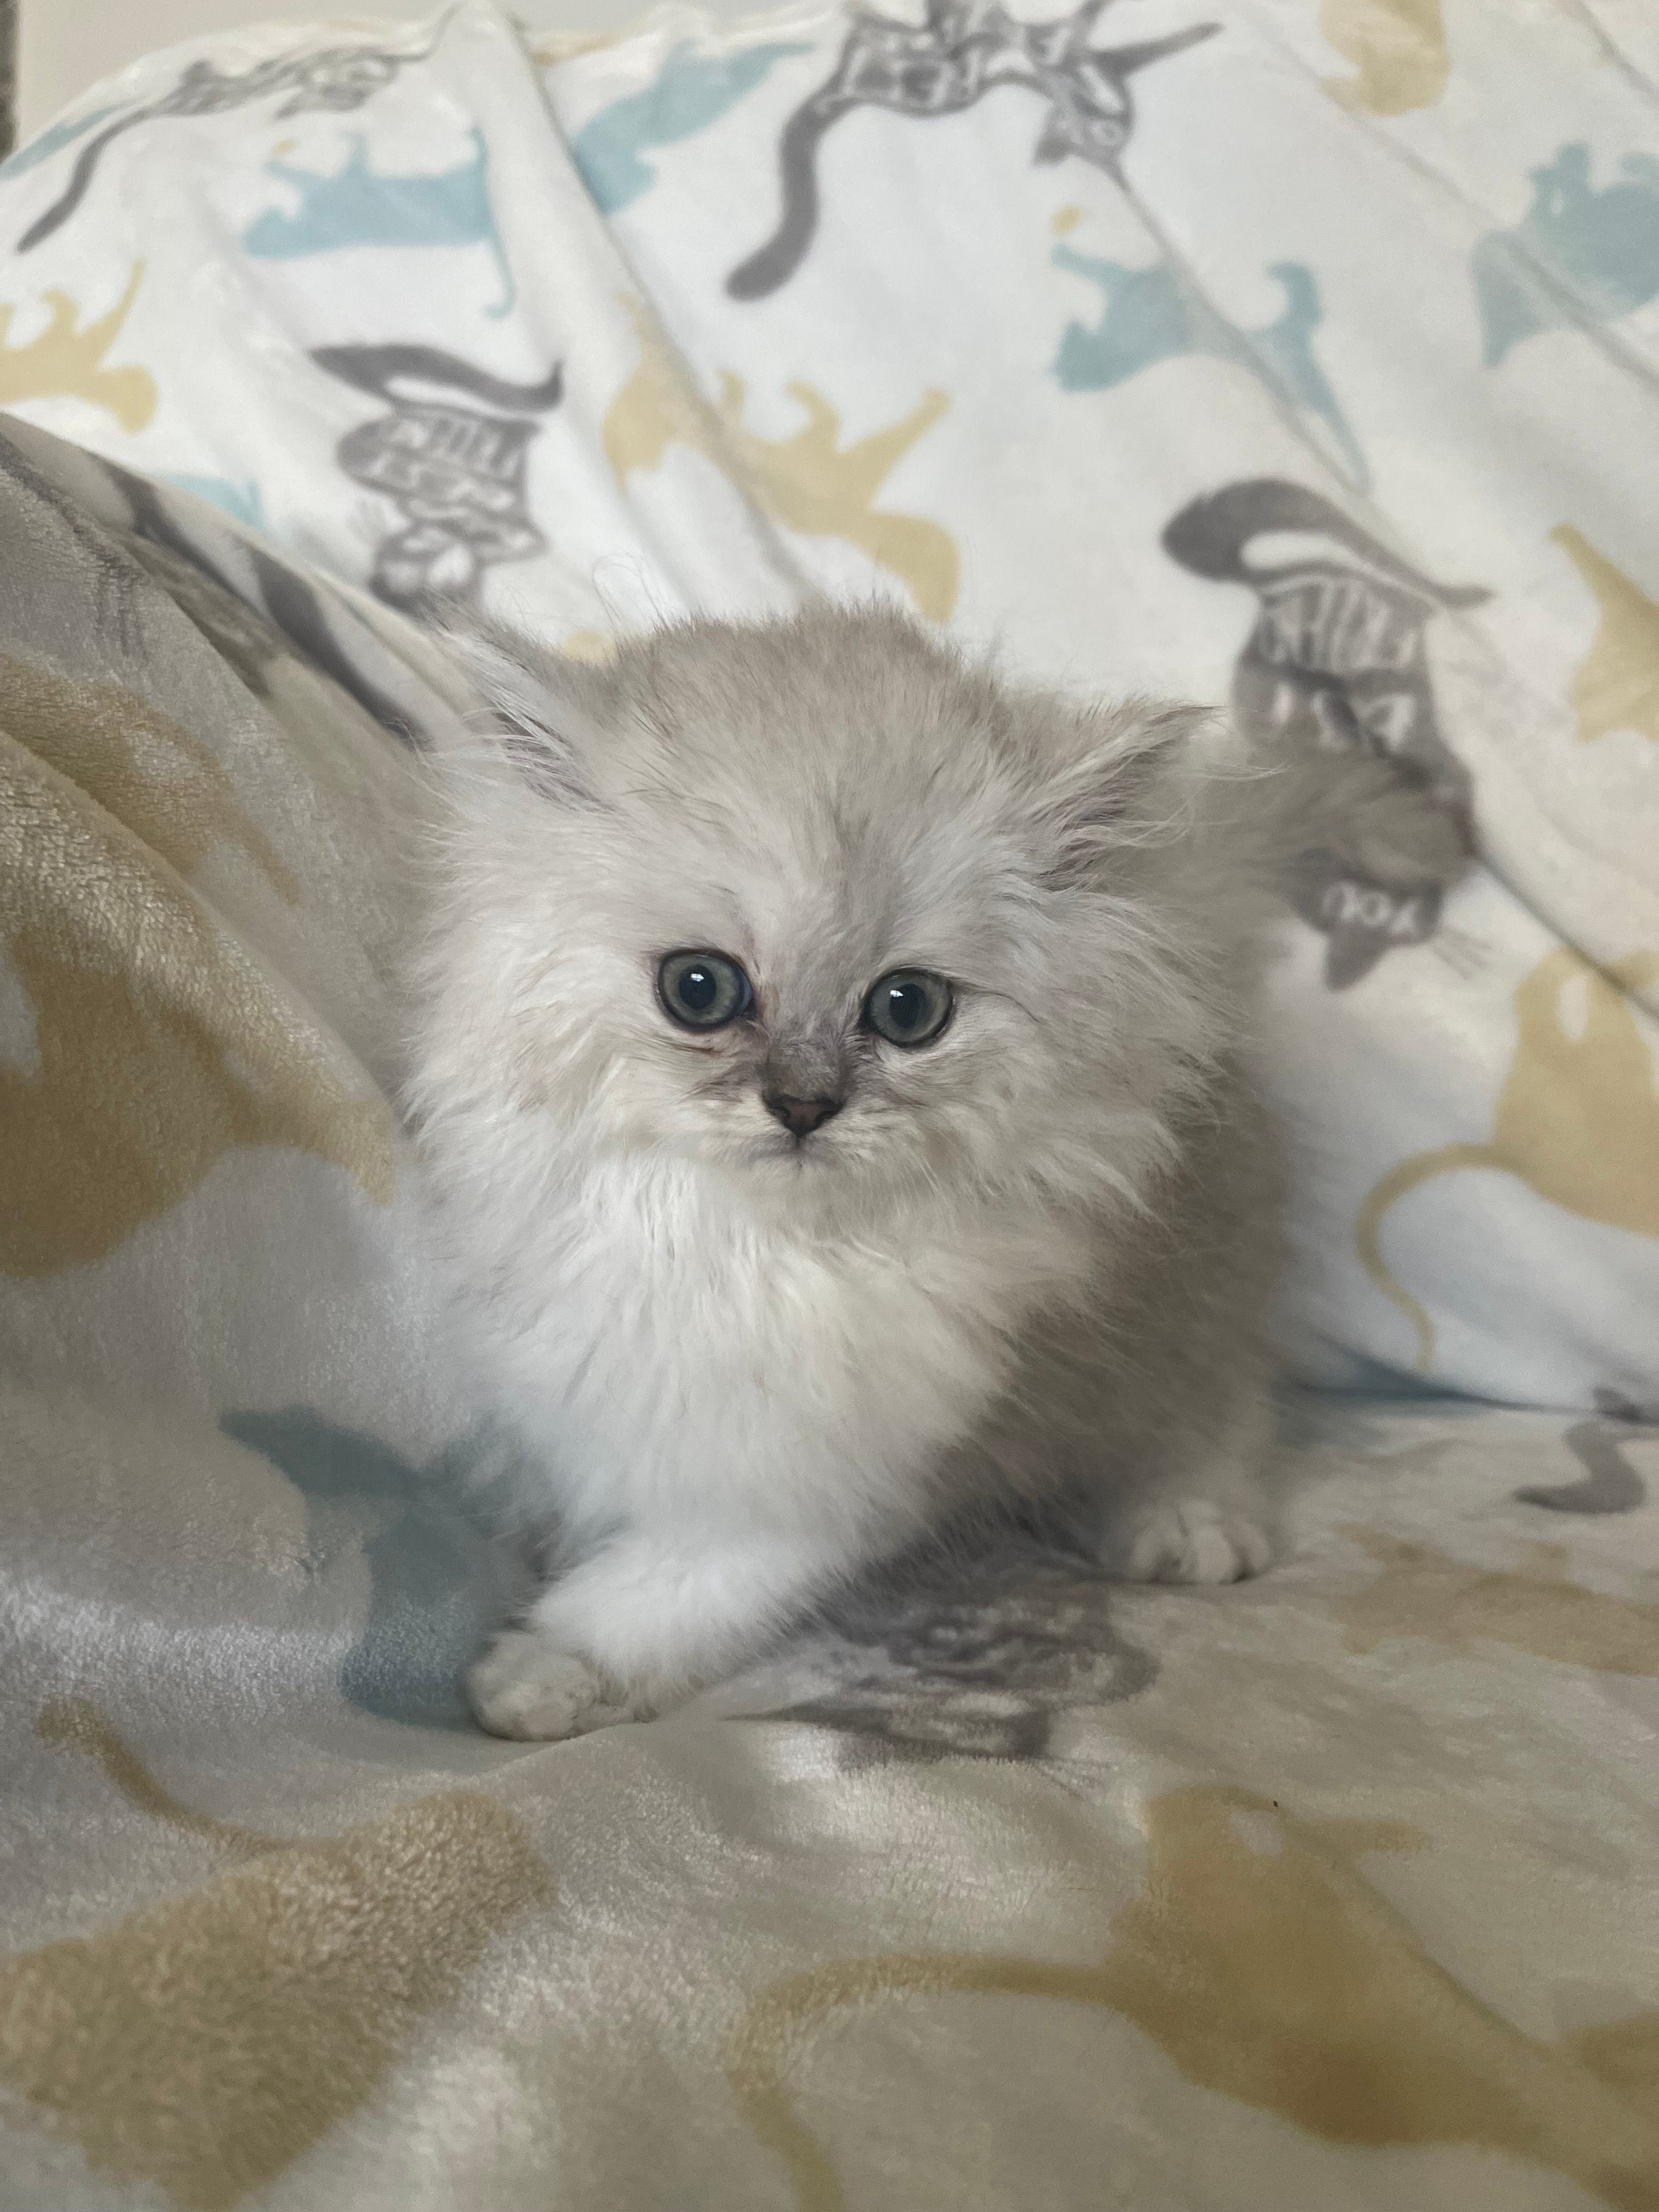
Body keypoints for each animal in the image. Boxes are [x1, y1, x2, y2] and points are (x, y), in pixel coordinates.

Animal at [413, 606, 1469, 1743]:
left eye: (907, 1009)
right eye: (698, 989)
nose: (802, 1105)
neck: (751, 1251)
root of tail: (1192, 919)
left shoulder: (815, 1486)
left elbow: (648, 1596)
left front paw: (541, 1675)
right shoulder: (570, 1399)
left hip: (1191, 1301)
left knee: (1215, 1405)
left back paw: (1188, 1522)